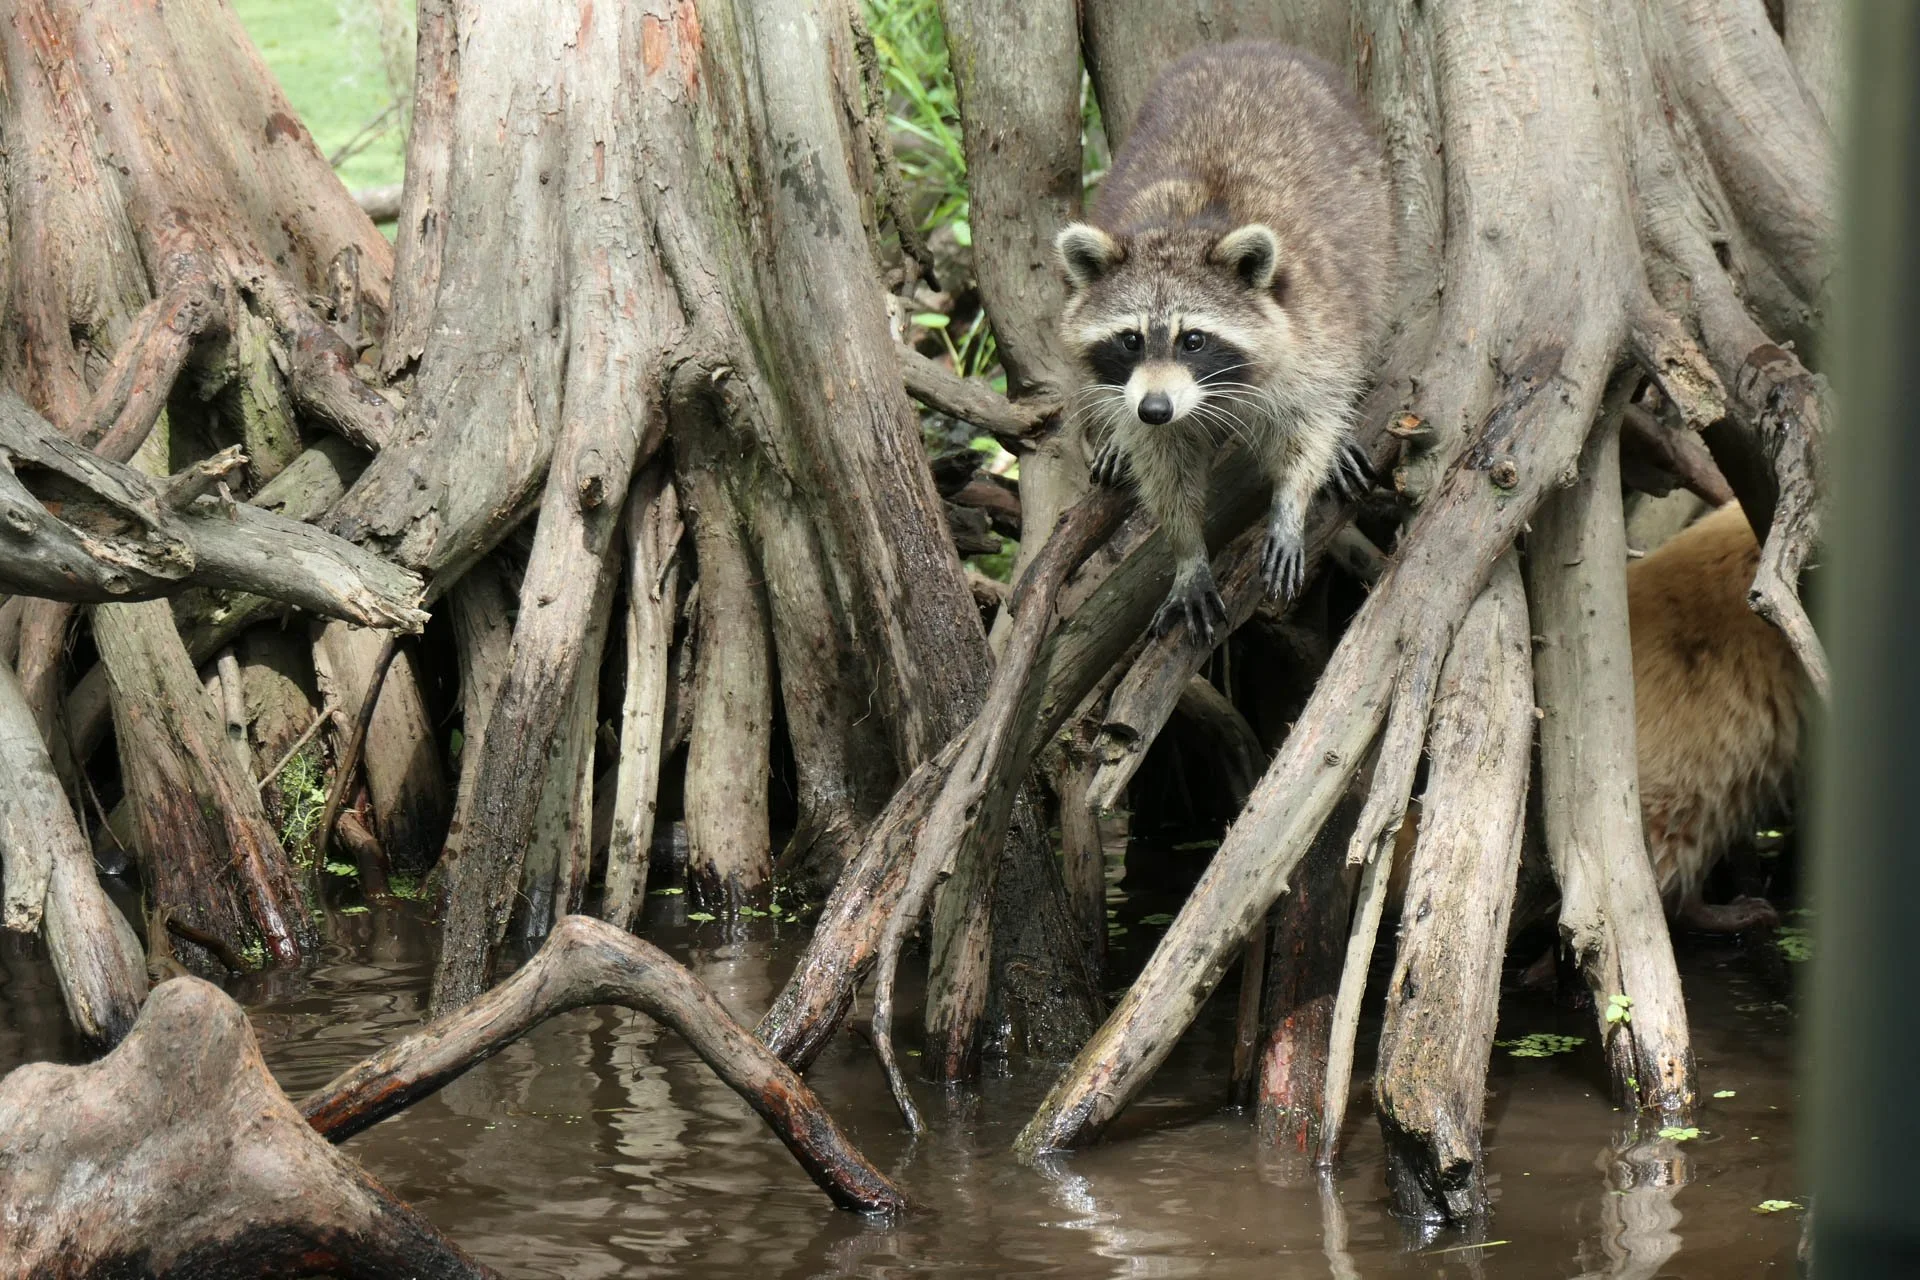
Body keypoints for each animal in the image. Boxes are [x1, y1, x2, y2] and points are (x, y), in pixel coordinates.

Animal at [1055, 41, 1395, 642]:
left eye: (1193, 340)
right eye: (1130, 340)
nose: (1154, 408)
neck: (1185, 228)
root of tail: (1253, 47)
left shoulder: (1312, 327)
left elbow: (1309, 422)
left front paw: (1290, 503)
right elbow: (1163, 467)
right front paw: (1187, 551)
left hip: (1371, 217)